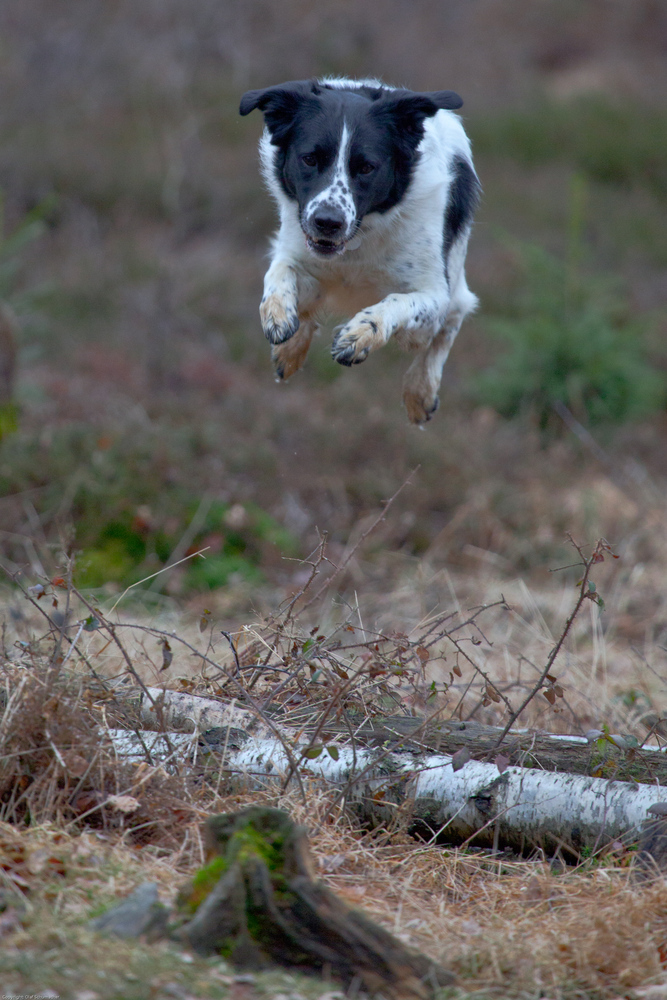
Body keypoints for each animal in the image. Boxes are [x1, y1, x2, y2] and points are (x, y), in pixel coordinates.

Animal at [240, 77, 480, 422]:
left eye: (367, 167)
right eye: (309, 159)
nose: (328, 222)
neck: (357, 241)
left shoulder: (435, 295)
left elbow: (399, 303)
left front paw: (360, 334)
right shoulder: (297, 247)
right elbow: (280, 270)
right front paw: (278, 315)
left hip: (453, 284)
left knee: (449, 325)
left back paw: (420, 391)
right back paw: (291, 348)